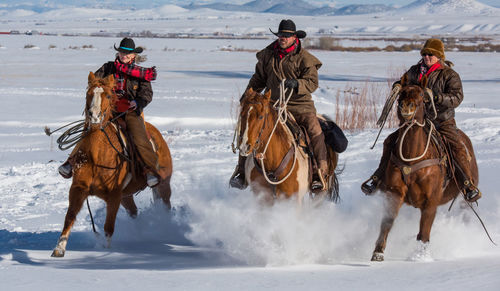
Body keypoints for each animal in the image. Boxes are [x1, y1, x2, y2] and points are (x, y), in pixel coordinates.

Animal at [50, 72, 172, 258]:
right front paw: (59, 248)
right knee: (134, 212)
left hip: (163, 185)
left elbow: (109, 227)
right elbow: (69, 217)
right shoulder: (78, 189)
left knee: (165, 207)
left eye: (108, 95)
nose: (94, 115)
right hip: (127, 196)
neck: (97, 155)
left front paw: (107, 252)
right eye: (88, 93)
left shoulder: (114, 196)